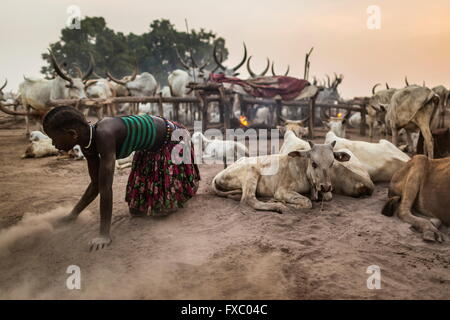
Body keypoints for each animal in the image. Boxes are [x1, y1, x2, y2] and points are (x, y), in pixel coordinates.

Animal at [212, 141, 352, 214]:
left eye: (332, 163)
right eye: (314, 163)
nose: (326, 186)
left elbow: (328, 197)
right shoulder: (282, 191)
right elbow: (307, 202)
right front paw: (289, 205)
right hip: (251, 172)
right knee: (248, 199)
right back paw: (278, 206)